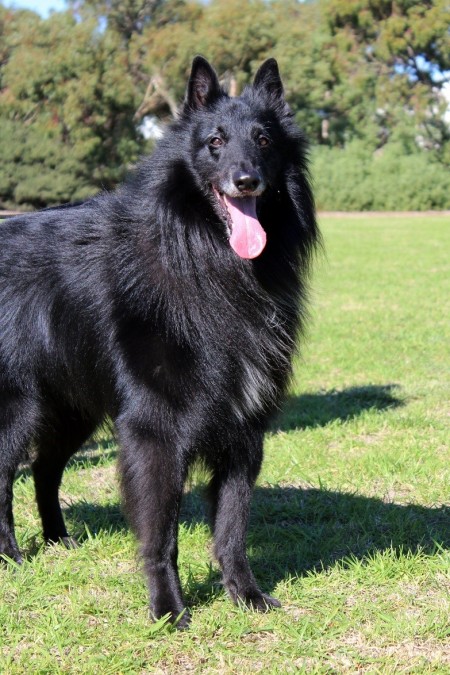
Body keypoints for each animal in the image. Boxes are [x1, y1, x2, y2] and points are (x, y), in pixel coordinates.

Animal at [0, 58, 318, 628]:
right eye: (215, 142)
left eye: (263, 140)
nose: (246, 180)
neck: (203, 260)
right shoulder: (155, 432)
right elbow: (162, 535)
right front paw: (168, 609)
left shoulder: (243, 433)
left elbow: (232, 530)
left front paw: (246, 596)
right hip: (19, 409)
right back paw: (12, 556)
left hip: (72, 411)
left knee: (43, 468)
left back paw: (59, 542)